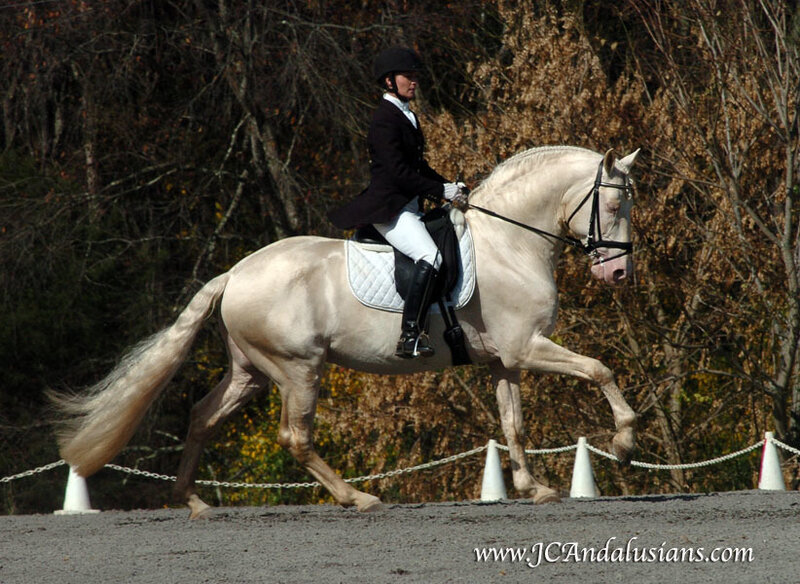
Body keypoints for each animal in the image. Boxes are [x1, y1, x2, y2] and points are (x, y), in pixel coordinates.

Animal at [53, 145, 640, 518]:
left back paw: (192, 501)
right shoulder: (529, 347)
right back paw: (358, 499)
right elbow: (600, 369)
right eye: (614, 204)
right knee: (295, 436)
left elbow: (513, 425)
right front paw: (625, 442)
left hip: (251, 373)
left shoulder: (506, 360)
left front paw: (532, 489)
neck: (510, 244)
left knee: (202, 417)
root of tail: (235, 273)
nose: (618, 275)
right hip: (298, 370)